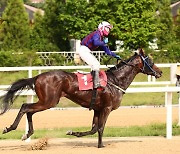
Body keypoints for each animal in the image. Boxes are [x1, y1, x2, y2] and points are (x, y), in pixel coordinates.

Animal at [0, 48, 162, 147]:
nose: (160, 72)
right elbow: (100, 128)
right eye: (151, 61)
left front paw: (73, 133)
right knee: (25, 107)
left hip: (46, 101)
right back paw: (10, 128)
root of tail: (37, 76)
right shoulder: (107, 108)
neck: (116, 80)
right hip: (49, 101)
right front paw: (101, 145)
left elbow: (93, 128)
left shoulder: (98, 109)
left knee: (30, 111)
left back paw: (27, 134)